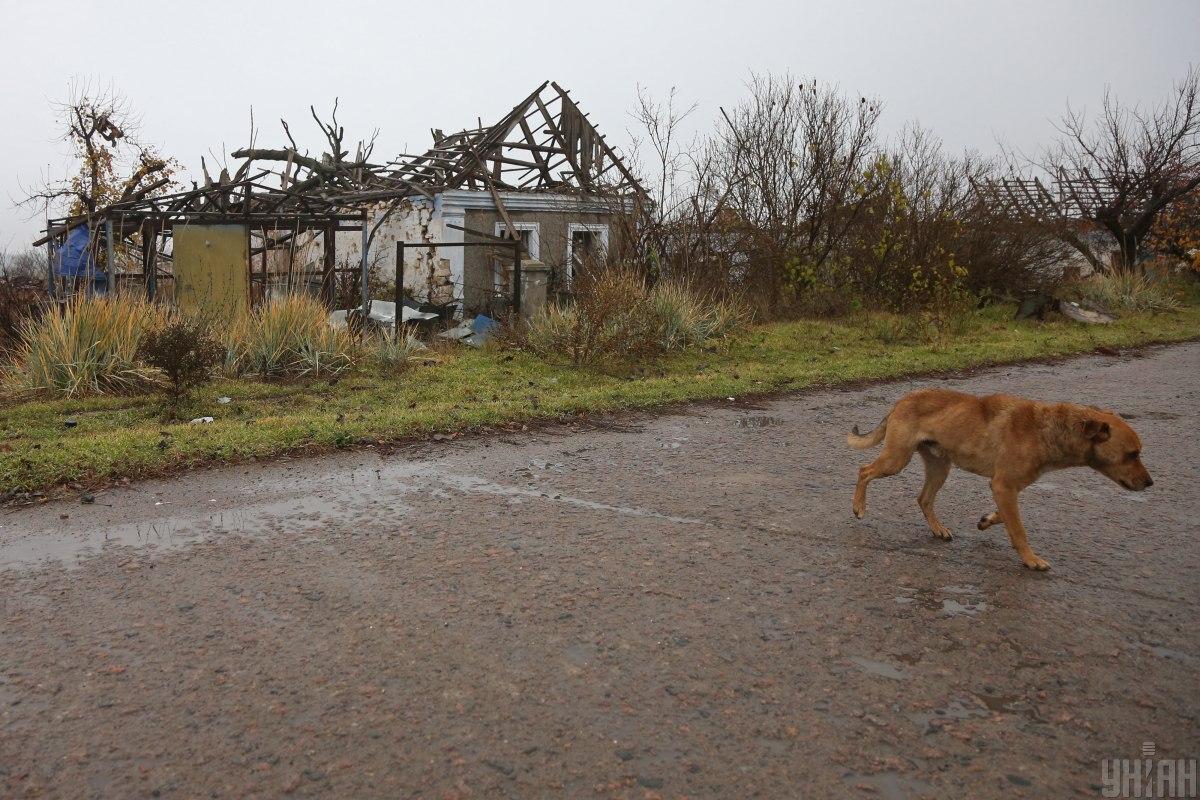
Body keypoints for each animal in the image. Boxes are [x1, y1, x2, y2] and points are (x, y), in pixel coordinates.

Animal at [849, 388, 1147, 568]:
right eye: (1131, 454)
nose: (1150, 483)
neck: (1047, 431)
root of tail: (902, 400)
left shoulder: (1007, 488)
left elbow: (1005, 518)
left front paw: (986, 520)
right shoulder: (1004, 486)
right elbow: (1019, 530)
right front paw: (1031, 559)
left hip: (940, 467)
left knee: (923, 499)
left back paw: (938, 529)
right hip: (896, 460)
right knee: (863, 470)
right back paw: (858, 507)